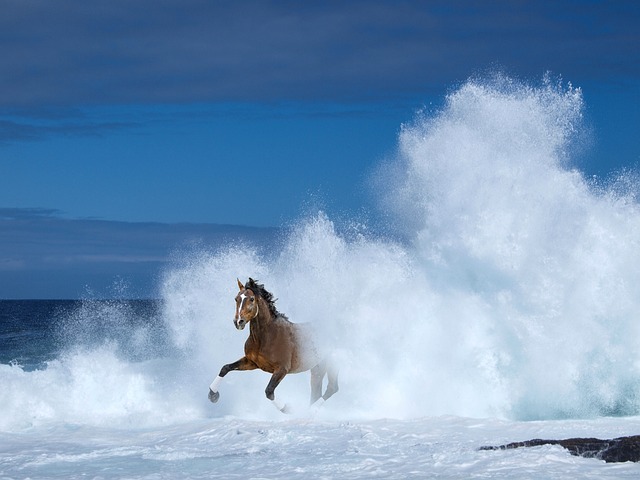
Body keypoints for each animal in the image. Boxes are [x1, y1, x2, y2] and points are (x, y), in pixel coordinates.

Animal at [209, 278, 340, 412]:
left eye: (251, 299)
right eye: (236, 299)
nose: (238, 322)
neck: (266, 337)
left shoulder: (282, 369)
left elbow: (269, 391)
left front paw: (288, 409)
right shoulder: (252, 362)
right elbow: (225, 368)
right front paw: (213, 395)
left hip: (332, 363)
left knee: (332, 388)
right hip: (317, 366)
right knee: (316, 389)